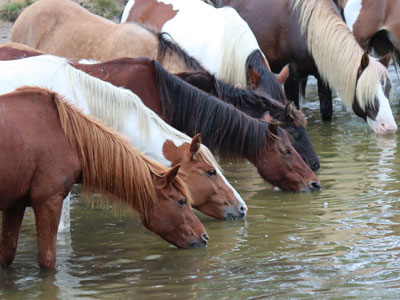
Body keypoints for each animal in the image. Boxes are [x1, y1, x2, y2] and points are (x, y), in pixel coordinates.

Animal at [0, 86, 209, 270]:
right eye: (182, 201)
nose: (205, 237)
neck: (68, 139)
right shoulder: (48, 202)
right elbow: (47, 260)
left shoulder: (15, 206)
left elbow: (7, 255)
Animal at [212, 0, 396, 135]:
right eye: (367, 94)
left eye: (388, 90)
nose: (389, 128)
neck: (309, 33)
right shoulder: (291, 77)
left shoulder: (323, 77)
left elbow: (326, 111)